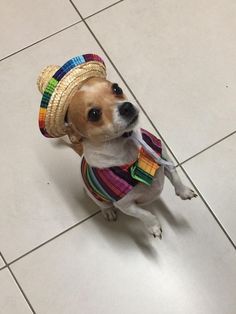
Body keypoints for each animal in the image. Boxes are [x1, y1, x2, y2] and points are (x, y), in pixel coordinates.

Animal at [64, 76, 197, 238]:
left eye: (117, 88)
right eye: (94, 114)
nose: (126, 106)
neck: (128, 146)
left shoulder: (165, 160)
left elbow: (176, 177)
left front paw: (184, 192)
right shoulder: (125, 205)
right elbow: (144, 214)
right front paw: (153, 226)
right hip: (95, 196)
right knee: (103, 205)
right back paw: (108, 211)